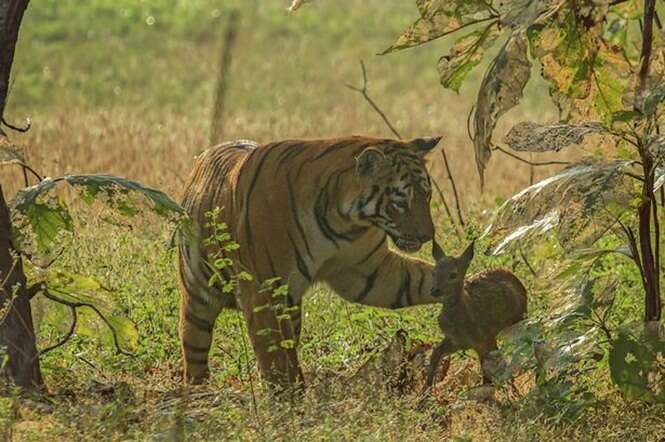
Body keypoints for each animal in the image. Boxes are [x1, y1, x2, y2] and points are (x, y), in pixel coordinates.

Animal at [178, 135, 440, 386]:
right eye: (400, 202)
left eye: (427, 195)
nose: (427, 236)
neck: (345, 221)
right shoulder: (263, 292)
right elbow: (275, 359)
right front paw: (289, 398)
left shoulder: (369, 272)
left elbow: (420, 280)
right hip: (198, 299)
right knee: (194, 349)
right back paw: (197, 391)